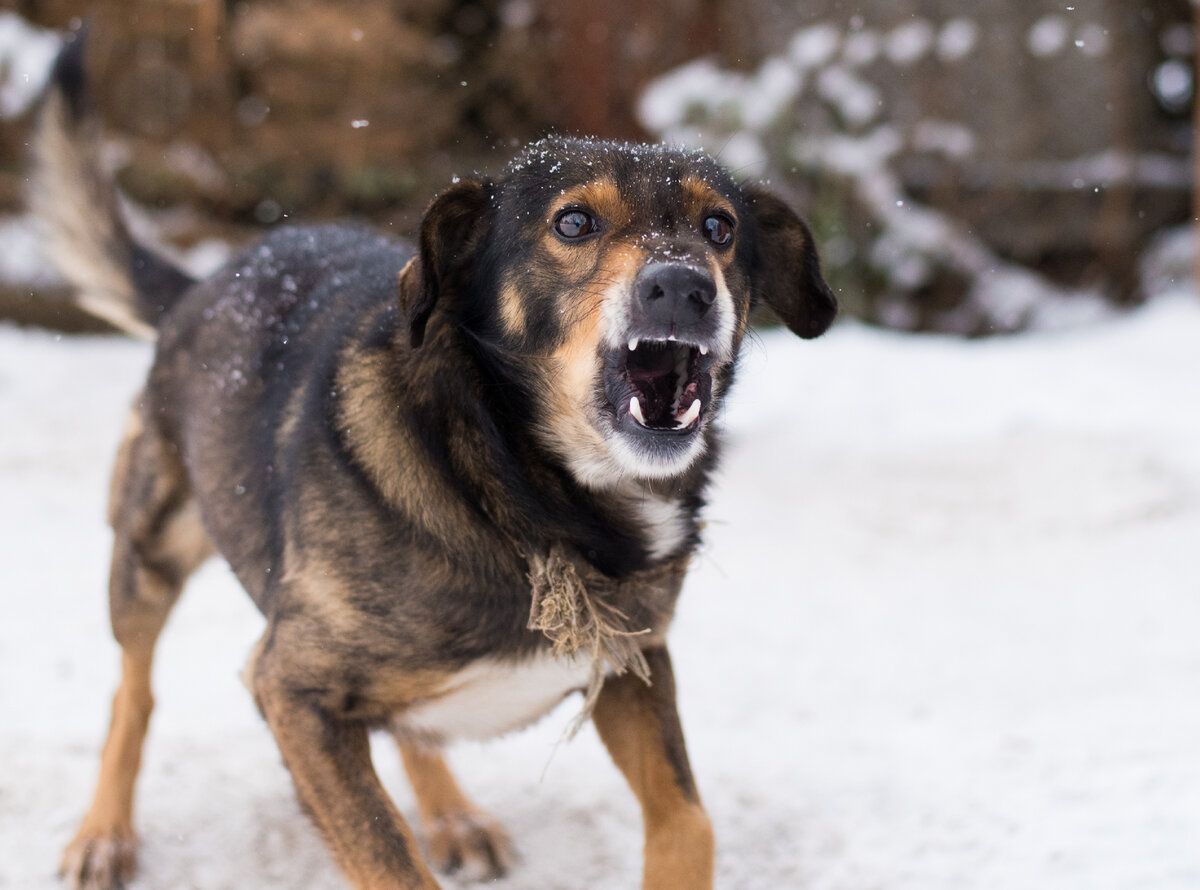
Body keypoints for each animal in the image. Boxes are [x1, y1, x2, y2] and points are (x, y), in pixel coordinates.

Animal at [35, 20, 835, 890]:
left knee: (408, 727)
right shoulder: (291, 689)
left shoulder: (632, 663)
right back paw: (104, 834)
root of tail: (206, 282)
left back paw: (451, 813)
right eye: (574, 224)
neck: (516, 486)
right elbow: (388, 857)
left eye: (720, 228)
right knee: (133, 693)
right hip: (149, 549)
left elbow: (689, 821)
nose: (684, 286)